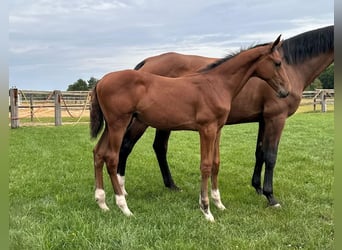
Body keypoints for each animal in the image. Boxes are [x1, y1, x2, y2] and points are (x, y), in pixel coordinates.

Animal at [90, 35, 288, 221]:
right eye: (277, 63)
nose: (285, 91)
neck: (216, 84)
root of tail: (101, 81)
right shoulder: (206, 129)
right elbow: (205, 165)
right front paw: (206, 209)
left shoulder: (218, 129)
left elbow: (216, 163)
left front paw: (218, 203)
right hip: (119, 124)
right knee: (112, 158)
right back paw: (124, 207)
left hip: (110, 126)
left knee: (99, 153)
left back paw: (102, 202)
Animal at [117, 24, 334, 207]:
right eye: (277, 63)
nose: (284, 91)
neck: (293, 66)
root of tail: (147, 62)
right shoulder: (276, 118)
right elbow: (271, 156)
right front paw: (271, 196)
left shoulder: (263, 120)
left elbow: (260, 152)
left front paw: (257, 188)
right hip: (143, 121)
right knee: (127, 144)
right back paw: (123, 189)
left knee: (159, 147)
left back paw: (171, 185)